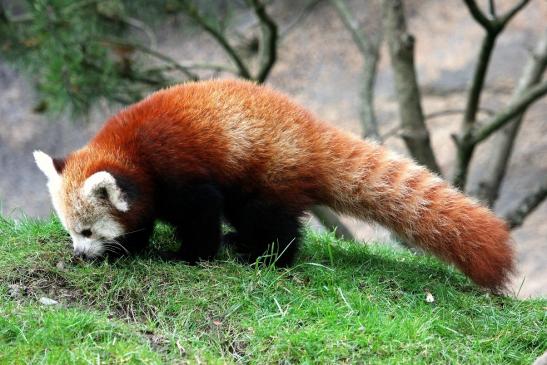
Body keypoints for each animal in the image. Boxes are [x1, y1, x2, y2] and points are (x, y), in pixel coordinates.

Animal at [33, 79, 512, 290]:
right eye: (72, 232)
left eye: (87, 230)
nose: (79, 253)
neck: (131, 152)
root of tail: (313, 133)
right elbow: (140, 221)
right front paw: (124, 250)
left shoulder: (178, 171)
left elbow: (199, 215)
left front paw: (188, 256)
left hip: (267, 171)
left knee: (273, 222)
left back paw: (260, 256)